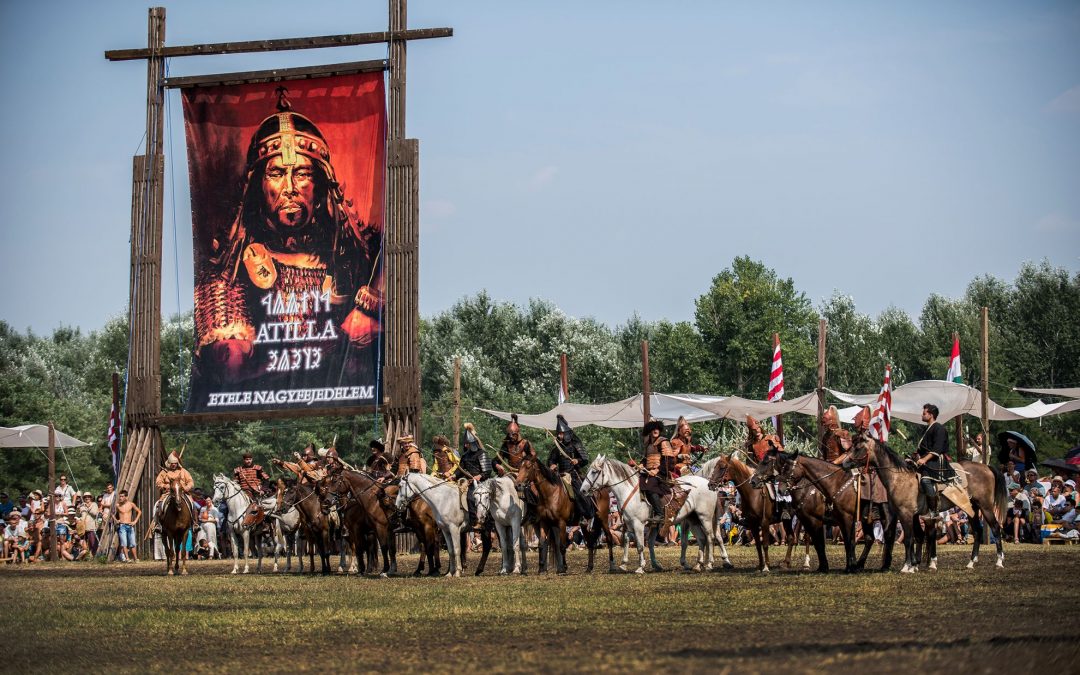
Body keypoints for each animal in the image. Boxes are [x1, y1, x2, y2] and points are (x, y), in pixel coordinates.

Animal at [846, 432, 1006, 570]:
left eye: (858, 448)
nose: (845, 463)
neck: (899, 477)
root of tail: (987, 467)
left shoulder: (905, 514)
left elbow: (909, 539)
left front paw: (907, 566)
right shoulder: (913, 515)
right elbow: (917, 536)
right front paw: (914, 565)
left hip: (985, 507)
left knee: (995, 528)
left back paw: (999, 561)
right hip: (971, 508)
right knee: (978, 531)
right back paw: (971, 562)